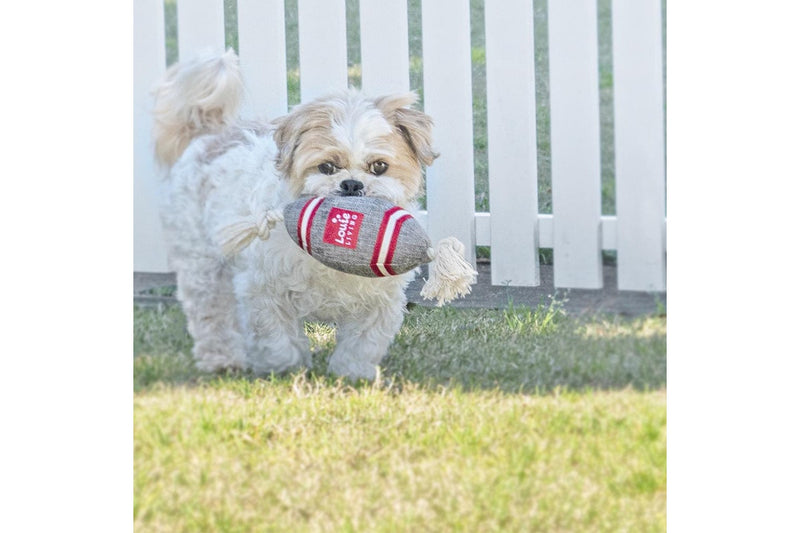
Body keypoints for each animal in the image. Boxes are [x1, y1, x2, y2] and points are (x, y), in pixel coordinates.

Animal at [150, 50, 438, 380]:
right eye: (327, 167)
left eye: (379, 167)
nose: (352, 184)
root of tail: (211, 133)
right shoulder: (263, 293)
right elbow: (276, 338)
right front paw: (285, 369)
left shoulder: (379, 301)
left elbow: (363, 343)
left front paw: (351, 375)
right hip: (202, 263)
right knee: (211, 313)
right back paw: (222, 359)